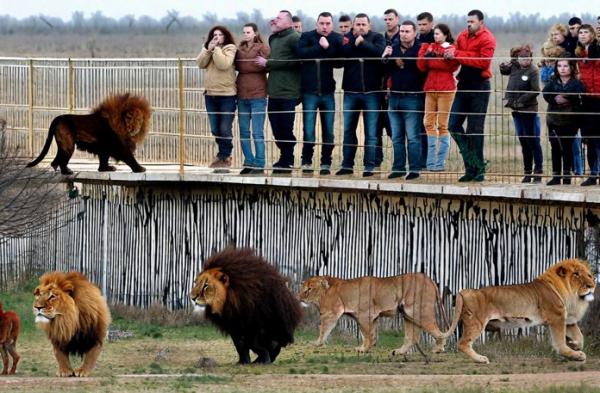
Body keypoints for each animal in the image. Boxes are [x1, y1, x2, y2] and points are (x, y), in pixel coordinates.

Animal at [300, 272, 450, 356]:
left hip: (420, 311)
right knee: (412, 336)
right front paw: (365, 348)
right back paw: (399, 352)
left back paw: (438, 349)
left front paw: (316, 343)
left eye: (309, 289)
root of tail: (429, 279)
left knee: (438, 330)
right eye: (302, 288)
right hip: (408, 315)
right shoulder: (368, 317)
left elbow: (324, 330)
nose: (299, 297)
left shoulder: (335, 314)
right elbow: (368, 334)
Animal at [442, 258, 596, 362]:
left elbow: (580, 337)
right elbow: (560, 342)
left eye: (589, 275)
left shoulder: (567, 320)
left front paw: (575, 345)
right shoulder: (556, 317)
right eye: (576, 274)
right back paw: (481, 359)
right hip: (476, 322)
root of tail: (466, 291)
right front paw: (575, 354)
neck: (573, 297)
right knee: (462, 344)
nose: (592, 285)